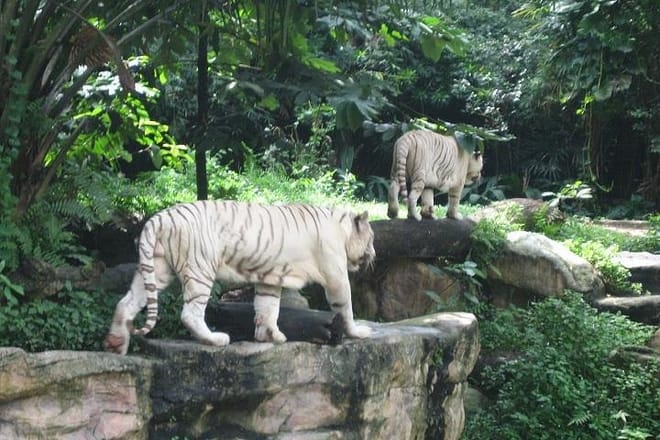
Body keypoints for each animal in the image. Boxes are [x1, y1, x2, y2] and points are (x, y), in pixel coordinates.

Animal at [104, 200, 375, 355]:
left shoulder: (270, 277)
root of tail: (158, 218)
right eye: (371, 238)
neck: (341, 226)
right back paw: (215, 339)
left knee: (126, 302)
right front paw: (358, 332)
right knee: (190, 313)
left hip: (156, 269)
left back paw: (116, 343)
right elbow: (345, 306)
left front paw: (270, 336)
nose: (374, 254)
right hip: (200, 268)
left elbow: (267, 307)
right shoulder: (336, 275)